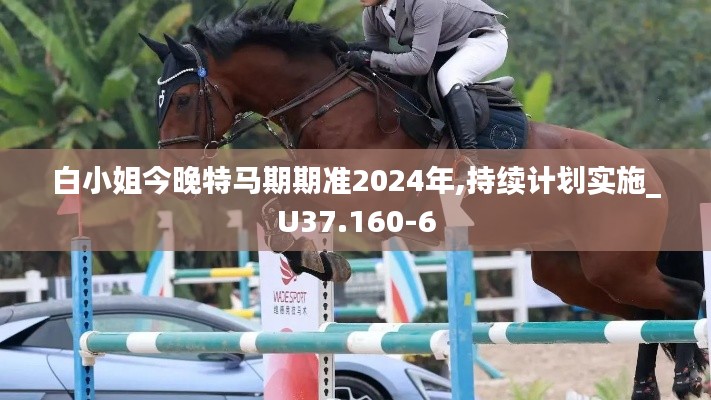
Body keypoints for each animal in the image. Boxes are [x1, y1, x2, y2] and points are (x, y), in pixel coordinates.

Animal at [139, 2, 708, 399]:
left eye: (183, 98)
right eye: (159, 99)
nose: (174, 170)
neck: (328, 101)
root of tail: (647, 165)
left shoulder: (367, 196)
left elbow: (287, 211)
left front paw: (322, 263)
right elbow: (275, 211)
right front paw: (317, 264)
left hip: (612, 264)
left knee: (678, 299)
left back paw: (686, 378)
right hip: (571, 272)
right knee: (645, 313)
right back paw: (650, 386)